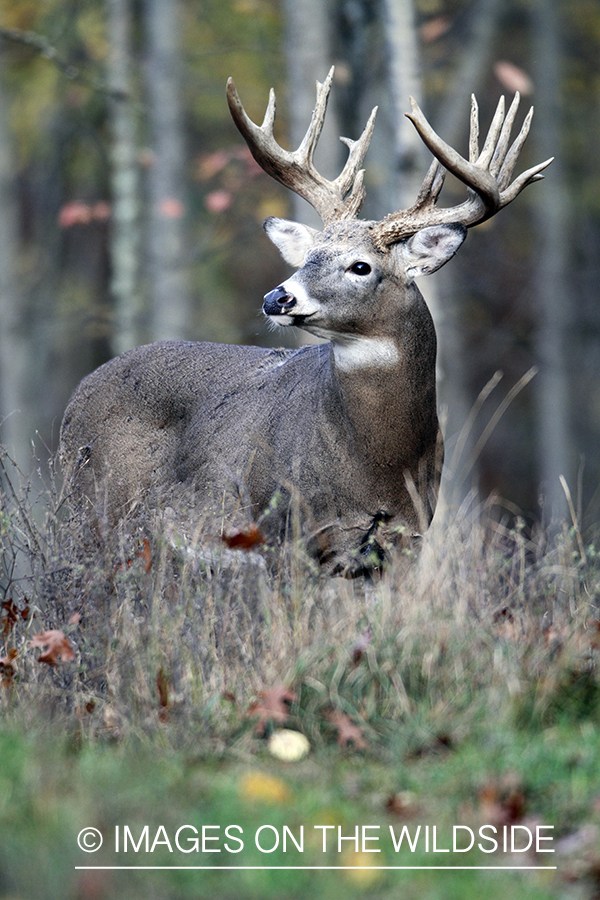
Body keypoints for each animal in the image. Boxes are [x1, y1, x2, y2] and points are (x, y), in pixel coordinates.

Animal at [58, 70, 552, 576]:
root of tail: (78, 395)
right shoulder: (284, 527)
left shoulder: (405, 542)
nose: (277, 297)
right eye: (309, 255)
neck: (381, 462)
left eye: (361, 266)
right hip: (88, 509)